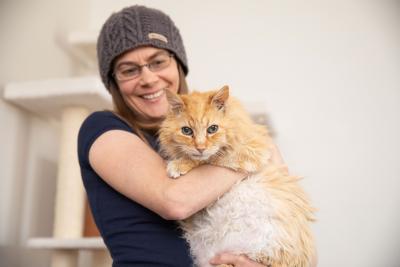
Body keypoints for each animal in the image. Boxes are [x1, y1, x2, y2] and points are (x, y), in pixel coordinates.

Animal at [158, 86, 314, 267]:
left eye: (212, 129)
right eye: (187, 131)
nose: (200, 148)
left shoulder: (250, 151)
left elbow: (208, 159)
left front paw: (178, 165)